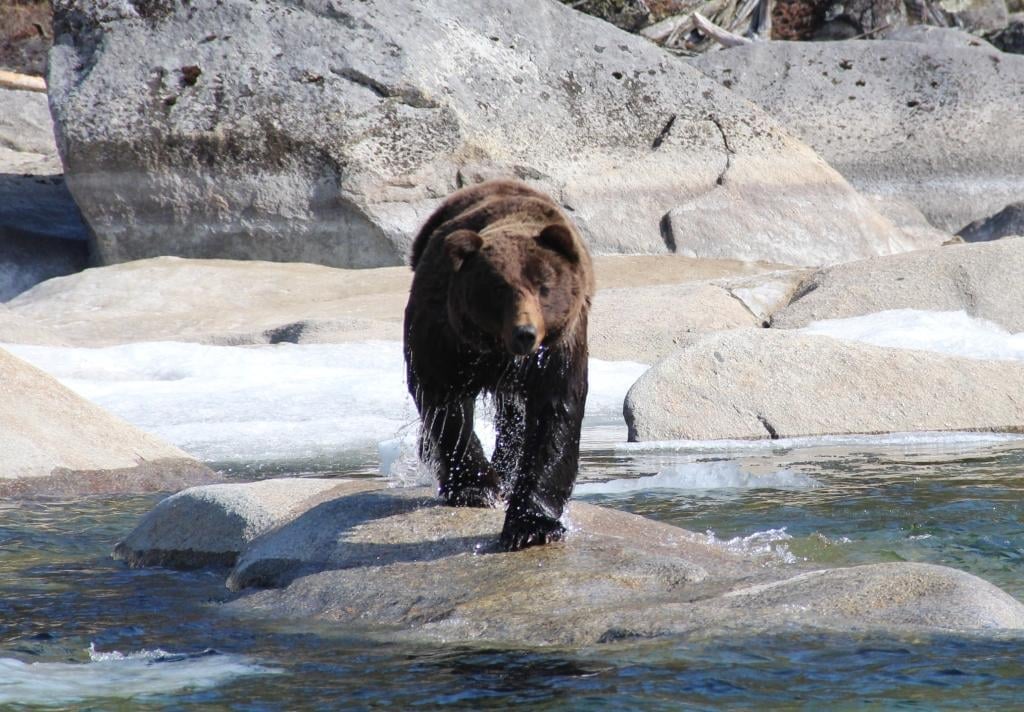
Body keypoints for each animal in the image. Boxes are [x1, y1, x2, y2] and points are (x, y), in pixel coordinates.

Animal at [399, 178, 593, 553]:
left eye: (544, 287)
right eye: (499, 289)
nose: (525, 333)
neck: (496, 351)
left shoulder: (558, 350)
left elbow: (555, 417)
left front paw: (532, 526)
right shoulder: (444, 335)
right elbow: (445, 404)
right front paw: (476, 487)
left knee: (514, 415)